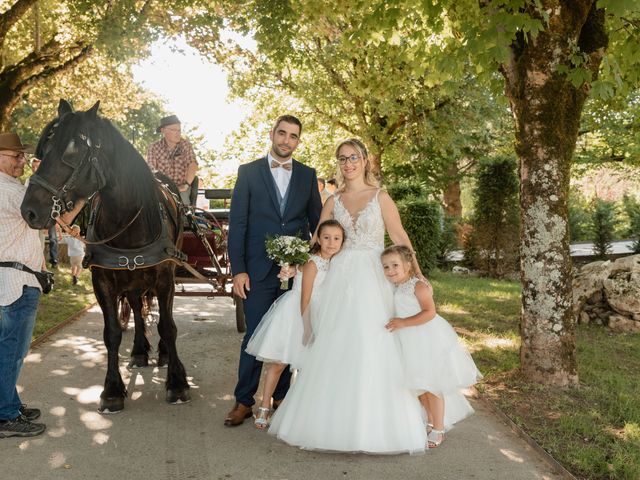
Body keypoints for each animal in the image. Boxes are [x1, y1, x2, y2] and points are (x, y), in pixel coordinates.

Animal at [23, 99, 192, 410]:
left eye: (72, 151)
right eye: (43, 149)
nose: (29, 210)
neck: (128, 218)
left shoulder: (165, 276)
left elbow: (168, 325)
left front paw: (177, 382)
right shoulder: (102, 281)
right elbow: (111, 333)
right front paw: (112, 388)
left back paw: (162, 353)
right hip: (132, 279)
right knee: (136, 307)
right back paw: (139, 351)